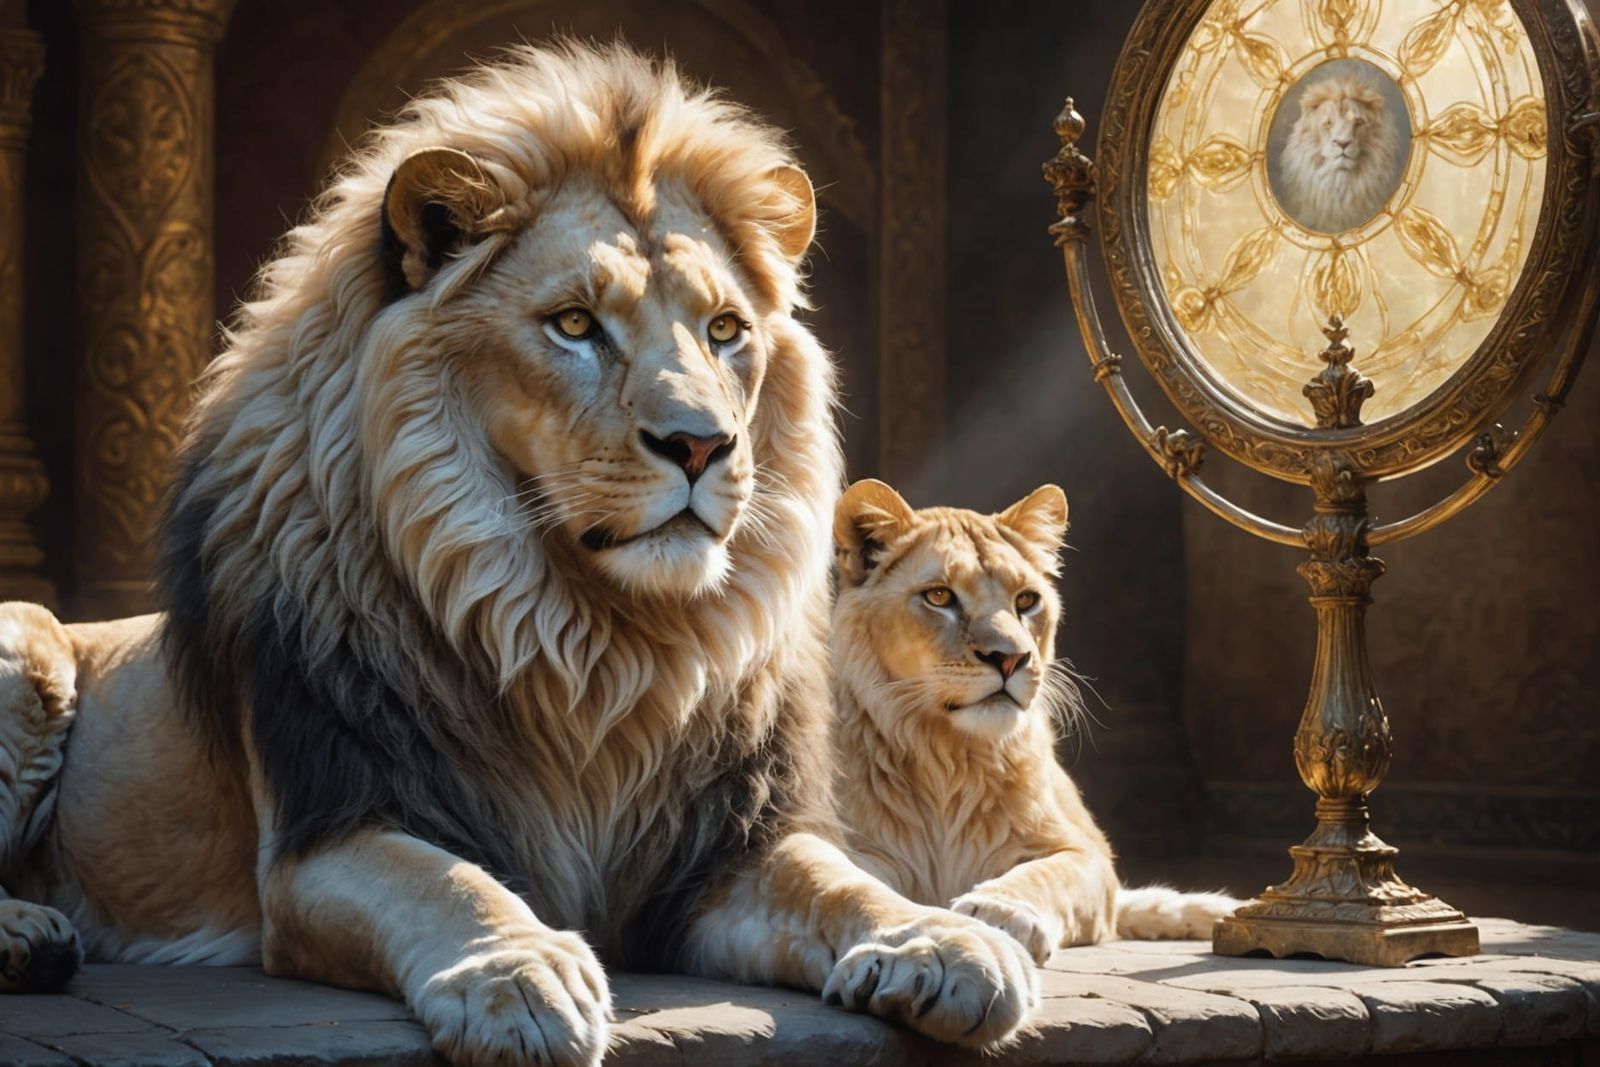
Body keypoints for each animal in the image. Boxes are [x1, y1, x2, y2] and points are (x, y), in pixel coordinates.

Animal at [0, 43, 1037, 1065]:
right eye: (575, 324)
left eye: (725, 330)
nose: (702, 444)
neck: (594, 643)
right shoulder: (326, 829)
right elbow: (446, 880)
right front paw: (518, 973)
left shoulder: (718, 854)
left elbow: (841, 881)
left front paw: (944, 940)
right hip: (31, 641)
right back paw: (30, 934)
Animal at [830, 480, 1239, 964]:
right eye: (939, 596)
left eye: (1026, 600)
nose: (1010, 658)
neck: (949, 758)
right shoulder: (847, 842)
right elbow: (858, 882)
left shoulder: (1086, 852)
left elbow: (1046, 876)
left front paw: (999, 912)